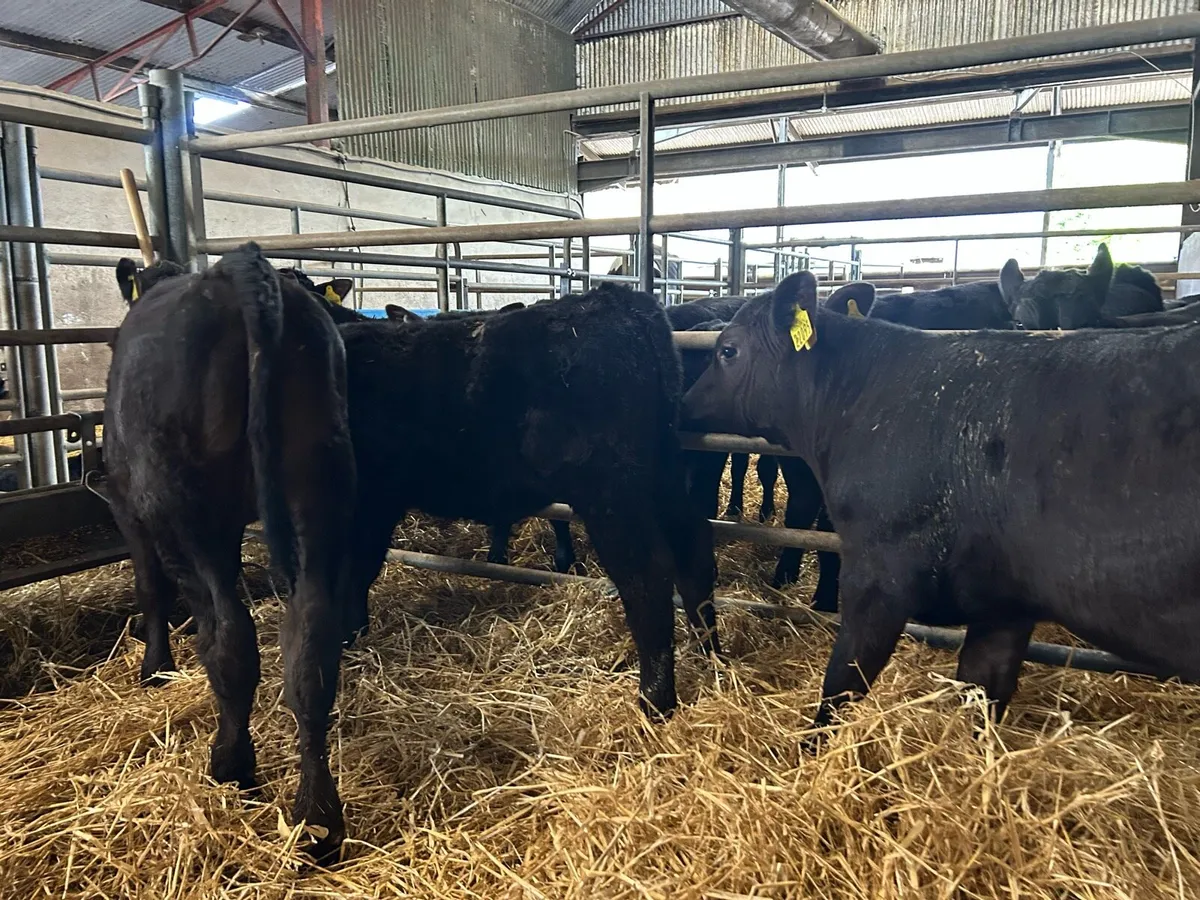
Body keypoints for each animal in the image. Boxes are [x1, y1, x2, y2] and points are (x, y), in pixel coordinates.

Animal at [106, 244, 355, 860]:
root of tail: (238, 269)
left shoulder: (126, 504)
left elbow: (151, 587)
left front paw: (155, 669)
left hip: (192, 510)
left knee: (231, 639)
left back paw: (231, 767)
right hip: (320, 484)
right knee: (310, 648)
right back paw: (317, 822)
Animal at [337, 282, 719, 720]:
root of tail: (617, 299)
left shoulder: (364, 500)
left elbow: (353, 570)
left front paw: (347, 636)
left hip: (612, 489)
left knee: (646, 574)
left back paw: (655, 698)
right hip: (662, 470)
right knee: (693, 550)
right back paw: (710, 654)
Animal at [682, 269, 1200, 737]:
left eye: (727, 350)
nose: (685, 403)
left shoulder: (880, 577)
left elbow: (842, 682)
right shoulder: (1002, 606)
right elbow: (982, 692)